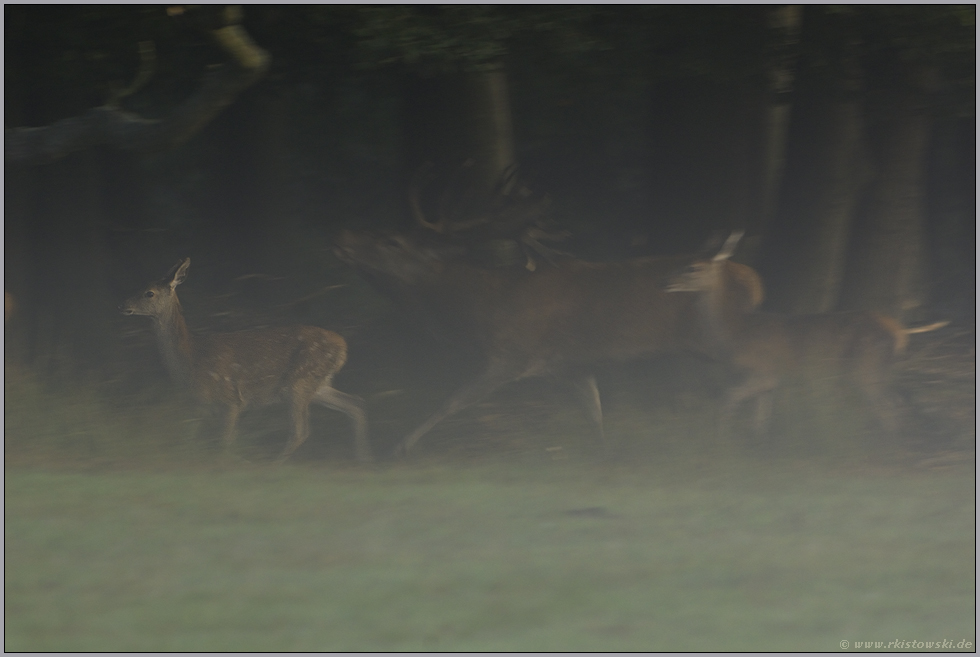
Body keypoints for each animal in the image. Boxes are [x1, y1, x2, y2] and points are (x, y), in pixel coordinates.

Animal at [119, 258, 372, 464]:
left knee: (301, 430)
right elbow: (195, 437)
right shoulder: (204, 406)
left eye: (149, 292)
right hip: (319, 385)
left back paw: (274, 465)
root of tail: (343, 347)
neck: (191, 358)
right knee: (355, 403)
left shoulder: (231, 399)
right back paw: (363, 458)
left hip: (300, 380)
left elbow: (224, 441)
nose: (123, 305)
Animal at [336, 229, 764, 456]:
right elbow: (595, 413)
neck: (480, 310)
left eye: (392, 242)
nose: (346, 240)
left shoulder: (511, 355)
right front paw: (606, 455)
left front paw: (397, 448)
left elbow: (451, 401)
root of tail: (755, 279)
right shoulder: (571, 366)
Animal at [668, 231, 948, 436]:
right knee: (896, 402)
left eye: (694, 268)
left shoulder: (763, 370)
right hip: (879, 367)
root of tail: (901, 330)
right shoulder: (771, 378)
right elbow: (761, 415)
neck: (735, 333)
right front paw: (759, 442)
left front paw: (721, 439)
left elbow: (728, 399)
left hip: (866, 365)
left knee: (890, 405)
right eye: (684, 264)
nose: (668, 283)